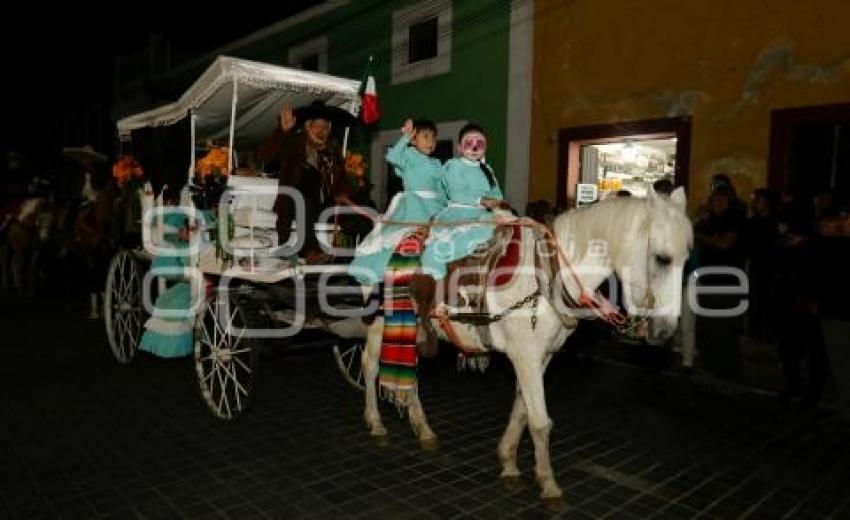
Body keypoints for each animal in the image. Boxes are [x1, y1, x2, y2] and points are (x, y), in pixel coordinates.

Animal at [354, 186, 692, 504]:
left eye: (686, 259)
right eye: (662, 258)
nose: (665, 331)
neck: (551, 273)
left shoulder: (539, 357)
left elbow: (522, 409)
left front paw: (509, 463)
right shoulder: (526, 356)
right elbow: (540, 421)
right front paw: (549, 484)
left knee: (408, 376)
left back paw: (423, 429)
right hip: (382, 322)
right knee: (370, 365)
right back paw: (376, 423)